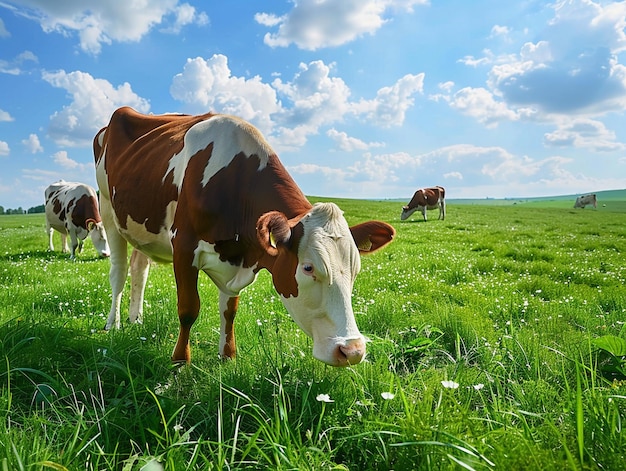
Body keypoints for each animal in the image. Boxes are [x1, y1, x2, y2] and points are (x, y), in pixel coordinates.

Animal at [92, 108, 394, 368]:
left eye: (355, 270)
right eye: (308, 268)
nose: (352, 351)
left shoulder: (237, 257)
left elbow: (229, 311)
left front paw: (227, 356)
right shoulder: (184, 245)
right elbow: (188, 307)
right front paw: (180, 361)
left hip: (141, 226)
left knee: (139, 270)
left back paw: (136, 319)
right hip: (107, 209)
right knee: (118, 273)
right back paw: (113, 324)